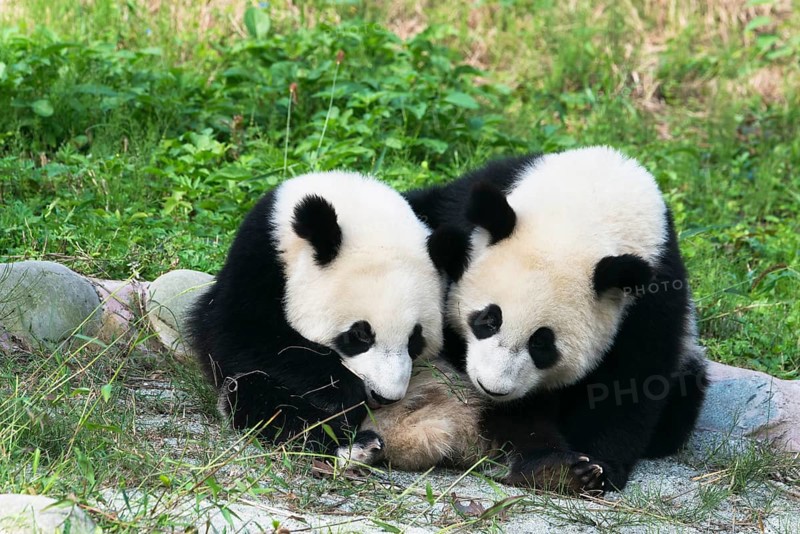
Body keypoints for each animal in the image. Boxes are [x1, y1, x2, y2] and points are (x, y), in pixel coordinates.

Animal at [187, 171, 460, 460]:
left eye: (414, 341)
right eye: (360, 335)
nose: (384, 396)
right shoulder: (258, 261)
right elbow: (240, 336)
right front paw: (344, 389)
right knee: (259, 394)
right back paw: (350, 445)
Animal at [365, 146, 708, 493]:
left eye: (542, 343)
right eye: (489, 320)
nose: (492, 388)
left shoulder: (650, 303)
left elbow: (630, 383)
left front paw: (599, 468)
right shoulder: (461, 212)